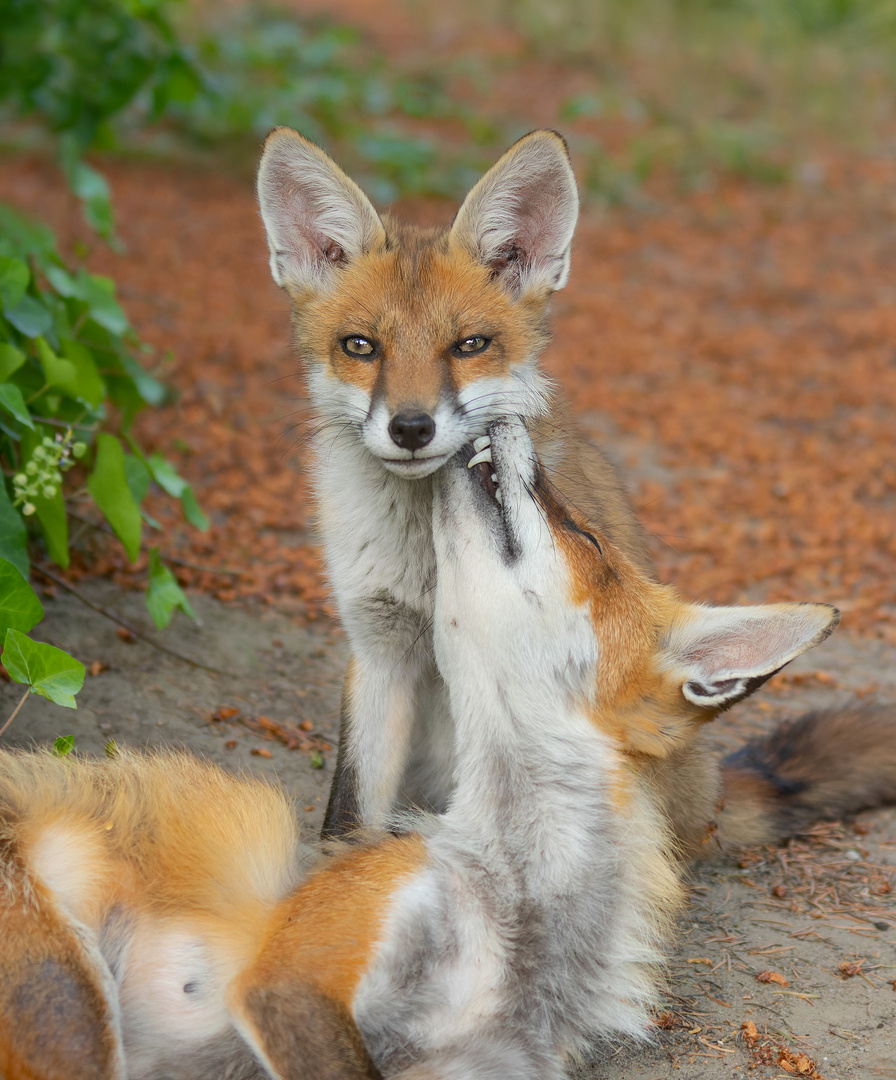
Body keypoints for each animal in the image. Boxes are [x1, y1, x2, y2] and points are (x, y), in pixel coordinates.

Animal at [3, 421, 893, 1080]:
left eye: (588, 537)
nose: (500, 417)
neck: (516, 902)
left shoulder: (486, 1062)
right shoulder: (290, 976)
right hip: (73, 1014)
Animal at [255, 124, 647, 833]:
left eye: (469, 346)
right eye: (360, 346)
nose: (411, 428)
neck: (427, 562)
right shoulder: (378, 650)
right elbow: (347, 815)